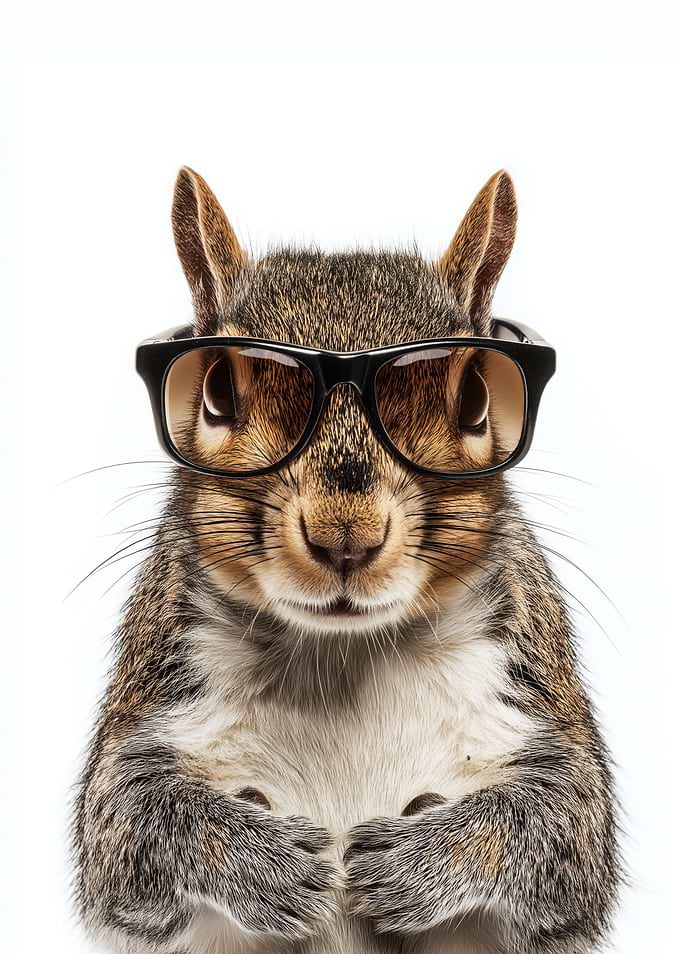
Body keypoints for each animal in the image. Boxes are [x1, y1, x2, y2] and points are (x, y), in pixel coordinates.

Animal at [72, 168, 620, 954]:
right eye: (215, 392)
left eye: (476, 399)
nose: (345, 538)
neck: (344, 655)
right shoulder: (149, 714)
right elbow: (128, 828)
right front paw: (263, 861)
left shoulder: (539, 716)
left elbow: (562, 829)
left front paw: (419, 860)